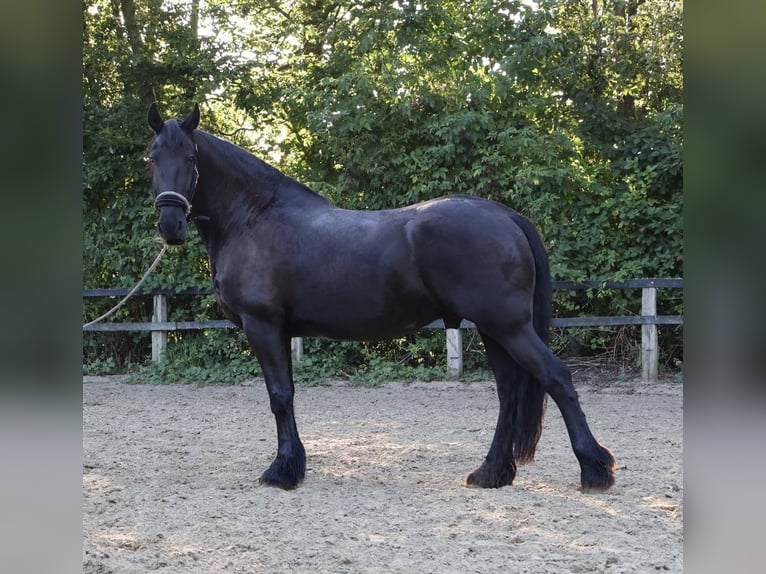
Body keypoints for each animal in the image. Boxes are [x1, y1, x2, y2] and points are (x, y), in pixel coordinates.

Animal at [146, 103, 616, 492]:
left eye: (191, 159)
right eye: (152, 157)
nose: (170, 226)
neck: (254, 217)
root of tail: (505, 214)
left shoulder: (262, 325)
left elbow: (278, 396)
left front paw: (281, 472)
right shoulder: (280, 331)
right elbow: (288, 394)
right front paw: (293, 465)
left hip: (508, 326)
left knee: (556, 378)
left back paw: (594, 469)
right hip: (495, 330)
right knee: (509, 395)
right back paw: (491, 473)